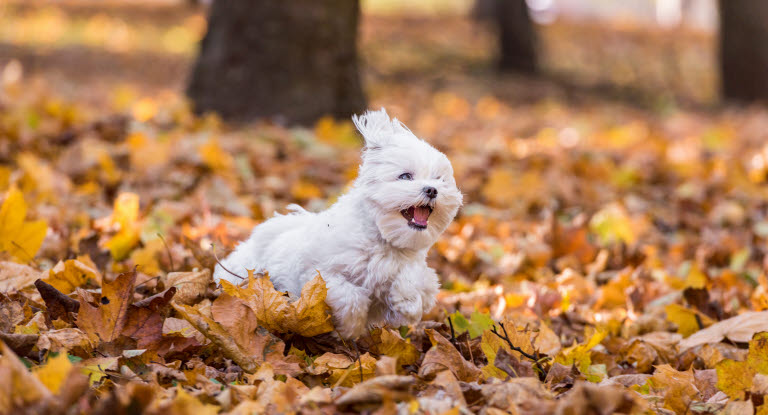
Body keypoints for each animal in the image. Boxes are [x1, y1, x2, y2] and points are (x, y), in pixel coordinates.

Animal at [213, 109, 462, 340]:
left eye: (440, 179)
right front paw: (349, 328)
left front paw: (407, 299)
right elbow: (349, 297)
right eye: (405, 176)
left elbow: (419, 282)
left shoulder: (415, 279)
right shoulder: (318, 275)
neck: (384, 241)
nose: (432, 190)